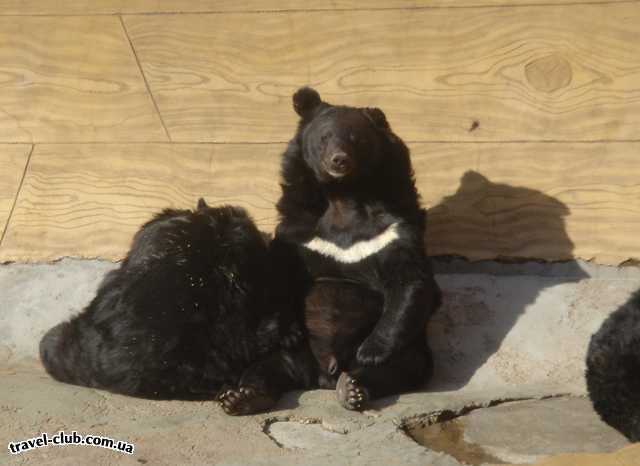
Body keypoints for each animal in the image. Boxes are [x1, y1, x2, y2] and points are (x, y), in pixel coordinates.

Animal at [219, 88, 440, 416]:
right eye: (325, 137)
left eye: (356, 139)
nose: (339, 160)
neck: (343, 196)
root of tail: (321, 374)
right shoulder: (298, 230)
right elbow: (277, 275)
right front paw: (289, 330)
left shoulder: (393, 229)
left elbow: (410, 281)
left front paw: (371, 352)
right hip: (293, 354)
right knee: (264, 367)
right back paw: (242, 398)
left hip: (410, 348)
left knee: (404, 367)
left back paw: (352, 387)